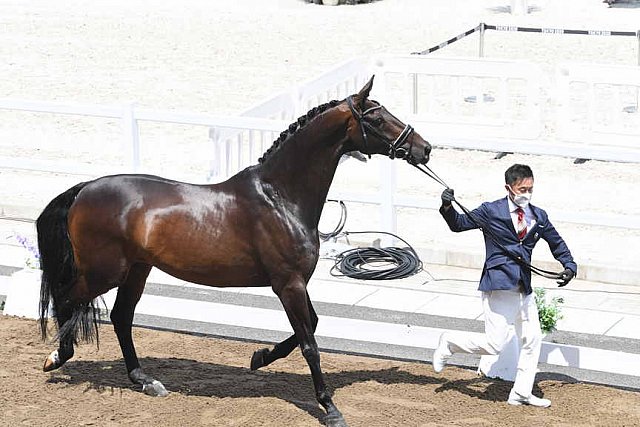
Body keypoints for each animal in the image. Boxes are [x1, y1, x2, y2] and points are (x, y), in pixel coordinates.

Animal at [37, 77, 432, 427]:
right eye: (377, 119)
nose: (424, 148)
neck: (280, 197)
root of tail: (85, 188)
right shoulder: (288, 284)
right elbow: (310, 344)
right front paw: (330, 408)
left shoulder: (296, 282)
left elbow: (312, 327)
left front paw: (260, 357)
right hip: (104, 271)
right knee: (68, 299)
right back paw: (56, 357)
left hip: (137, 269)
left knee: (120, 316)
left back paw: (145, 381)